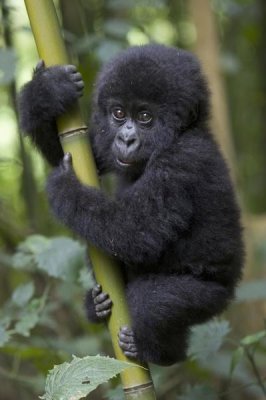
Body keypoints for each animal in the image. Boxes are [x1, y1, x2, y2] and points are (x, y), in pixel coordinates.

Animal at [18, 44, 243, 366]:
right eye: (119, 113)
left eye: (145, 116)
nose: (126, 139)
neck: (182, 134)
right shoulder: (104, 145)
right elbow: (76, 152)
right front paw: (46, 91)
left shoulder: (183, 160)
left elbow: (135, 233)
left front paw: (64, 188)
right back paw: (96, 307)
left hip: (213, 297)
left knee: (152, 301)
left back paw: (160, 352)